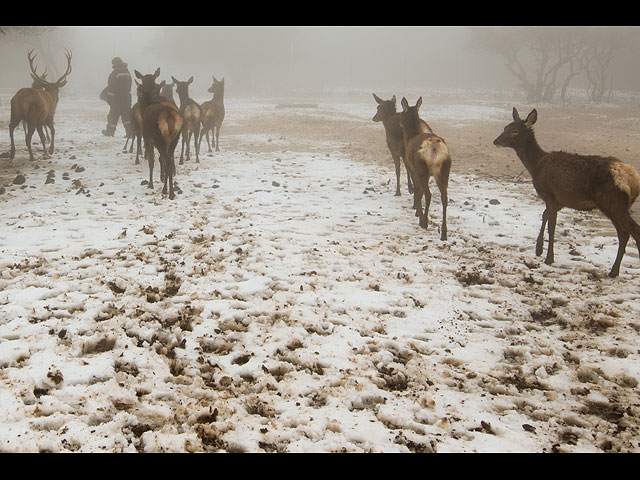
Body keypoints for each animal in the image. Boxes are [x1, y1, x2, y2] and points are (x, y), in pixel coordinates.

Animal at [134, 67, 184, 199]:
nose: (140, 95)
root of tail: (170, 116)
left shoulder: (148, 139)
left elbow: (151, 161)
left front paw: (150, 184)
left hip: (161, 139)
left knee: (166, 161)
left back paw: (167, 191)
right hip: (174, 139)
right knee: (169, 161)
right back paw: (170, 190)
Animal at [398, 97, 452, 240]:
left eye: (402, 113)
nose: (399, 122)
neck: (410, 137)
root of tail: (434, 148)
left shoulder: (413, 169)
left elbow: (418, 192)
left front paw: (418, 213)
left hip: (422, 169)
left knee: (428, 194)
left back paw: (424, 222)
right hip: (444, 170)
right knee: (444, 198)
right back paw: (444, 233)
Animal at [498, 106, 640, 276]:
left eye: (515, 131)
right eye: (505, 127)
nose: (496, 141)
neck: (536, 165)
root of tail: (633, 179)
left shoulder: (550, 194)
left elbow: (552, 225)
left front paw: (549, 258)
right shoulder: (559, 200)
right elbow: (545, 216)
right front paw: (538, 249)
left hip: (613, 203)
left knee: (632, 231)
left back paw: (614, 271)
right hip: (619, 205)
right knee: (624, 234)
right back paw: (614, 271)